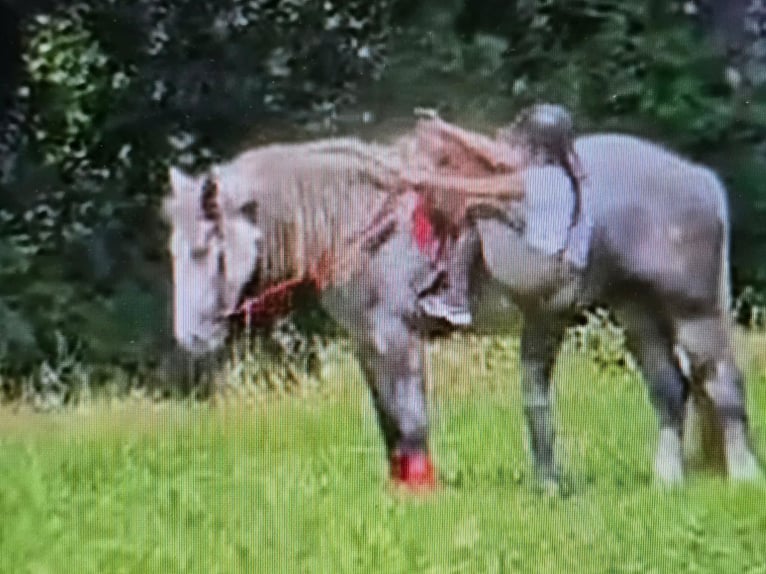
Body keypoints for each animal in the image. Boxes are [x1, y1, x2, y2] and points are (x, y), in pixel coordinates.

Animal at [163, 122, 761, 489]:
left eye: (203, 250)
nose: (191, 340)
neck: (357, 217)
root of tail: (700, 178)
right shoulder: (367, 344)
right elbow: (388, 422)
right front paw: (398, 488)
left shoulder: (397, 337)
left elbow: (411, 419)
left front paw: (424, 492)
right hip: (637, 311)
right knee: (669, 390)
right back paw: (666, 481)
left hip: (693, 310)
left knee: (722, 384)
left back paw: (743, 475)